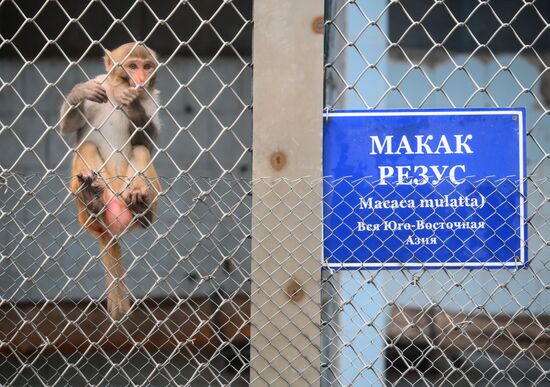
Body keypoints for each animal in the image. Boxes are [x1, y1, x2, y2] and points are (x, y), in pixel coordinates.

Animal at [61, 43, 164, 322]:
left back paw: (142, 208)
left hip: (125, 188)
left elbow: (147, 140)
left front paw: (133, 106)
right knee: (86, 146)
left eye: (146, 66)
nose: (141, 78)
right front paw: (79, 92)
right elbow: (68, 126)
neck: (116, 90)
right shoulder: (100, 85)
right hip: (93, 194)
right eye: (132, 65)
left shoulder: (152, 100)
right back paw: (92, 200)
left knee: (141, 150)